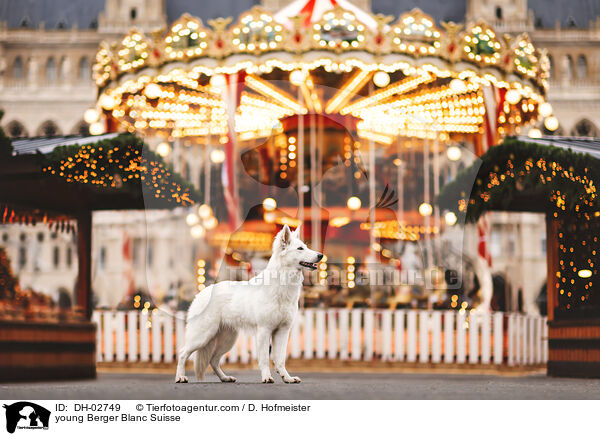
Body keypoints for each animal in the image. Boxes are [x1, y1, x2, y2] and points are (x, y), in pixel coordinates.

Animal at [173, 227, 324, 384]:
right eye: (300, 248)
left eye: (306, 246)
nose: (321, 255)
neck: (282, 285)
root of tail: (201, 292)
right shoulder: (264, 330)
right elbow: (264, 359)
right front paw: (267, 377)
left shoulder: (282, 331)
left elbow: (280, 359)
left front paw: (287, 378)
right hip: (202, 336)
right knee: (183, 353)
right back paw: (180, 377)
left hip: (227, 339)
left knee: (213, 360)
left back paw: (225, 378)